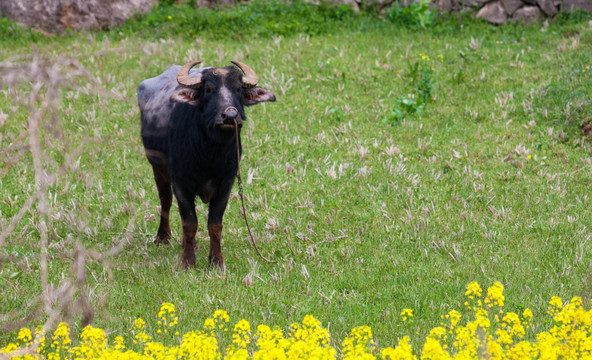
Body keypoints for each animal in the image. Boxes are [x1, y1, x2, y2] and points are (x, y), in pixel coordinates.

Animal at [139, 60, 278, 268]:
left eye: (238, 89)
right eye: (209, 89)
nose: (230, 116)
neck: (210, 155)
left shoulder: (226, 184)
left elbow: (215, 224)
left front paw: (216, 261)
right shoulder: (180, 182)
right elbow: (189, 222)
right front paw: (188, 262)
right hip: (157, 167)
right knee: (166, 200)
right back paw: (163, 236)